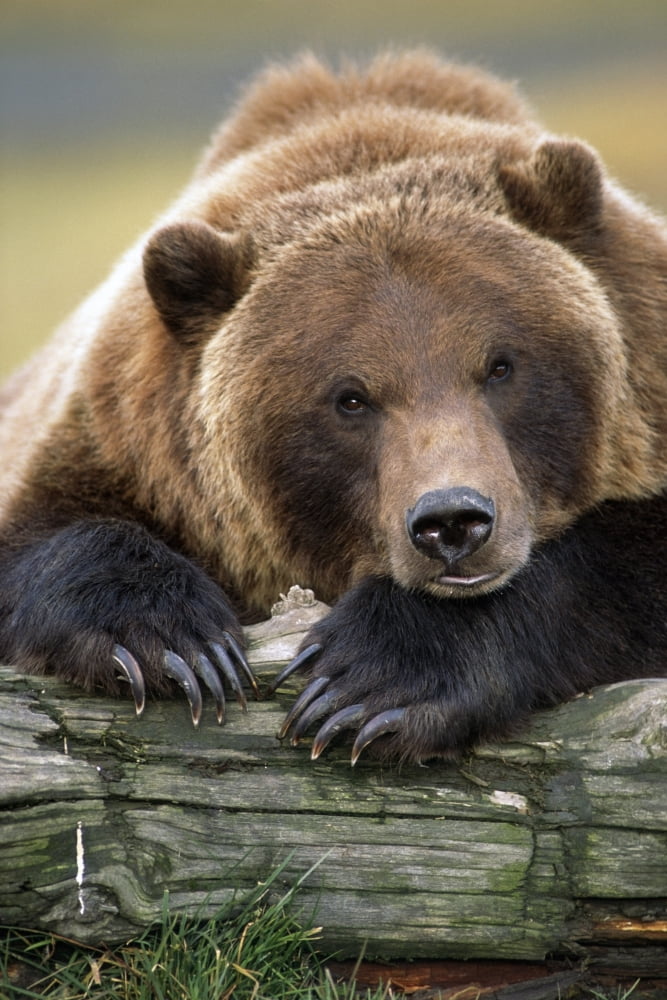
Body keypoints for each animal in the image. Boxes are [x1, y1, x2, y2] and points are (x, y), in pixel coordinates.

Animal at [0, 50, 665, 762]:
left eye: (500, 365)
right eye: (351, 398)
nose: (453, 521)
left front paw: (371, 678)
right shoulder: (119, 443)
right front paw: (177, 643)